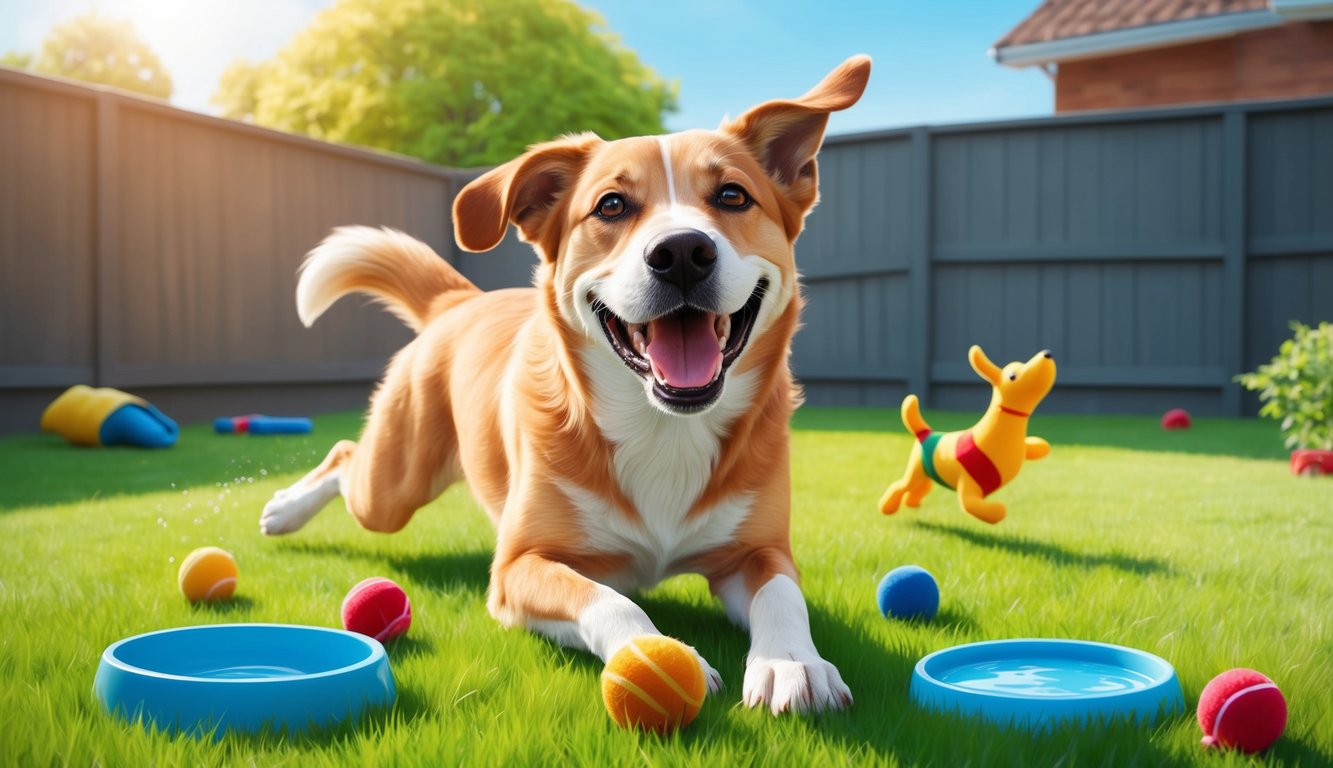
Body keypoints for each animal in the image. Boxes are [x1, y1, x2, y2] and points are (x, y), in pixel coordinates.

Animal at [261, 57, 874, 714]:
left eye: (733, 195)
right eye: (610, 205)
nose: (683, 250)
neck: (663, 427)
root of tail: (460, 302)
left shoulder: (761, 550)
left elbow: (783, 594)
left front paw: (792, 663)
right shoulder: (518, 569)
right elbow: (608, 598)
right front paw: (654, 654)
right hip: (393, 487)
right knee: (347, 457)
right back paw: (286, 510)